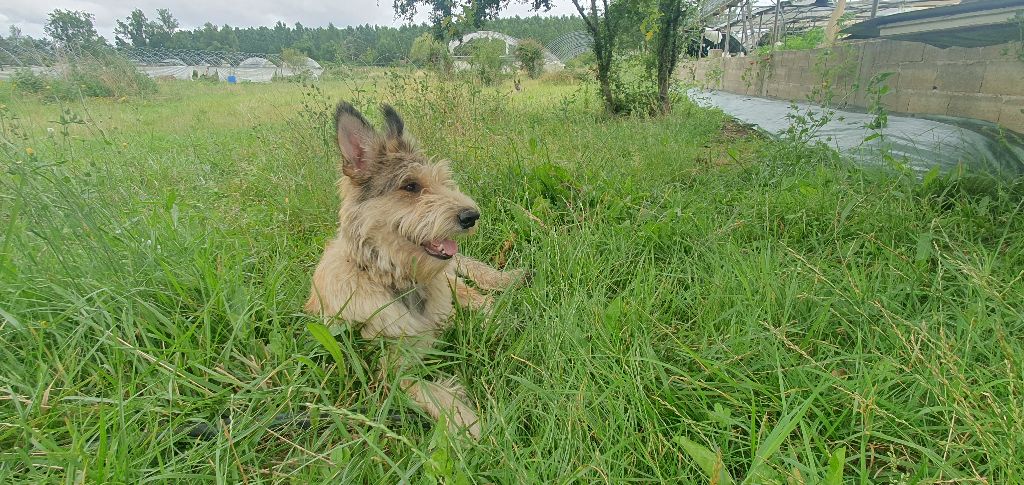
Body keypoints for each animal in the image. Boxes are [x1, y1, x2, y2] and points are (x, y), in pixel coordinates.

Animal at [305, 100, 524, 437]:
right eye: (410, 186)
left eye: (443, 181)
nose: (472, 216)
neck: (395, 278)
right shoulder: (388, 370)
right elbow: (426, 389)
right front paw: (468, 423)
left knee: (481, 297)